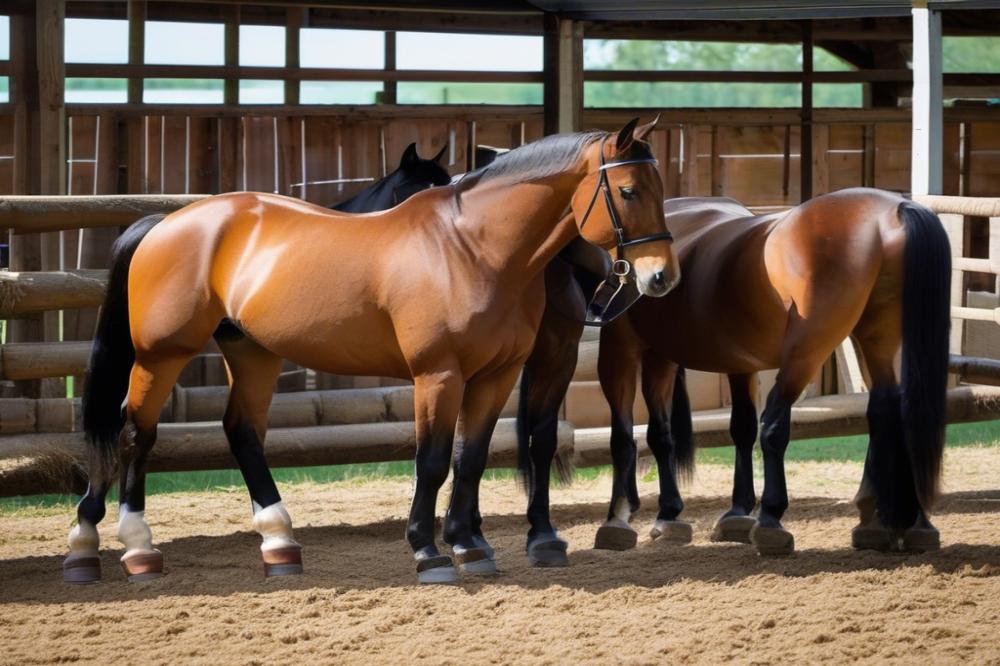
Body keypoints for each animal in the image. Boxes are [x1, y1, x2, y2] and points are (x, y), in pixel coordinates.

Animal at [64, 118, 680, 580]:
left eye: (660, 191)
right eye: (628, 191)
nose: (661, 277)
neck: (469, 249)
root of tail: (166, 222)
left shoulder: (496, 376)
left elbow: (471, 458)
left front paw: (470, 546)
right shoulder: (438, 375)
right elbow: (432, 460)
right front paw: (429, 552)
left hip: (253, 352)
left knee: (241, 432)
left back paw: (279, 545)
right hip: (161, 355)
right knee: (135, 431)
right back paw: (122, 546)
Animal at [516, 188, 952, 560]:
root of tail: (894, 211)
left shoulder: (621, 350)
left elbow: (624, 436)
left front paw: (617, 519)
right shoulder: (709, 360)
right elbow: (695, 431)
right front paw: (702, 513)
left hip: (809, 348)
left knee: (776, 424)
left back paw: (776, 519)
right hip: (875, 338)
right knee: (889, 411)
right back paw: (895, 522)